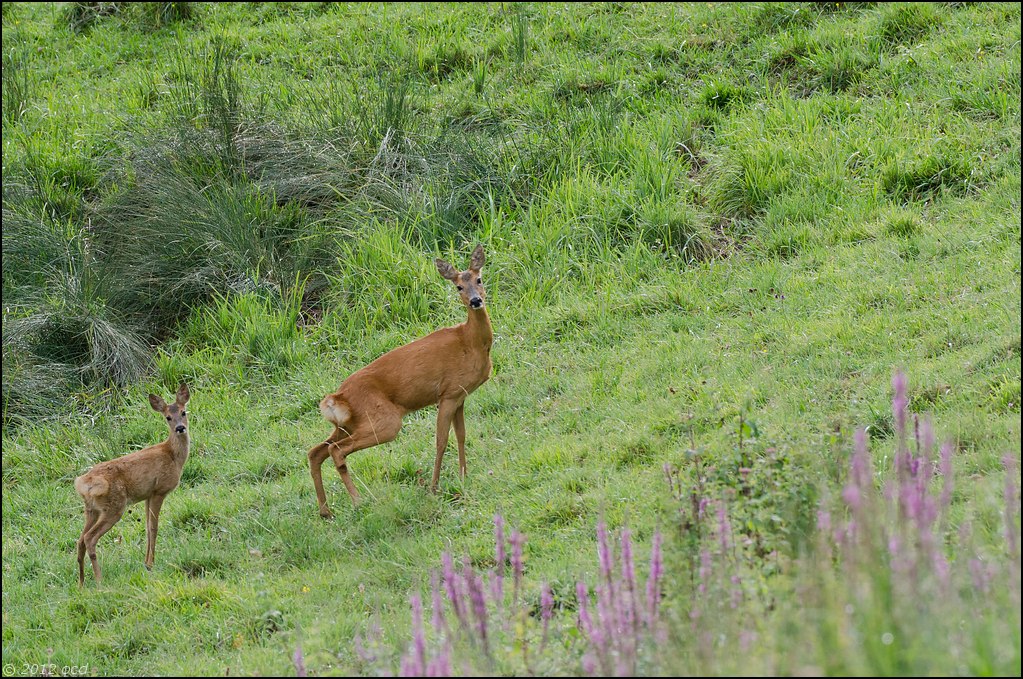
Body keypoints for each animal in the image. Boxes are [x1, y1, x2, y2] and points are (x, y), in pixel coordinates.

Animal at [74, 384, 192, 584]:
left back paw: (81, 583)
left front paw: (146, 563)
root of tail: (85, 483)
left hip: (91, 510)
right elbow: (154, 527)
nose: (180, 428)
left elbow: (147, 528)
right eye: (168, 417)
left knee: (80, 539)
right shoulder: (159, 490)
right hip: (114, 507)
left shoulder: (147, 495)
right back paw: (99, 580)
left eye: (183, 412)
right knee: (89, 538)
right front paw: (151, 564)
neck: (173, 456)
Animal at [306, 246, 491, 517]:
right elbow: (441, 441)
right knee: (335, 450)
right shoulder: (447, 394)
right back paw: (358, 501)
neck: (470, 342)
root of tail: (338, 397)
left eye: (479, 279)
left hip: (349, 424)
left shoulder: (461, 396)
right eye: (458, 286)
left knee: (316, 451)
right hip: (384, 421)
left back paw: (325, 511)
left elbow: (461, 436)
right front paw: (434, 487)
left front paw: (463, 476)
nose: (476, 301)